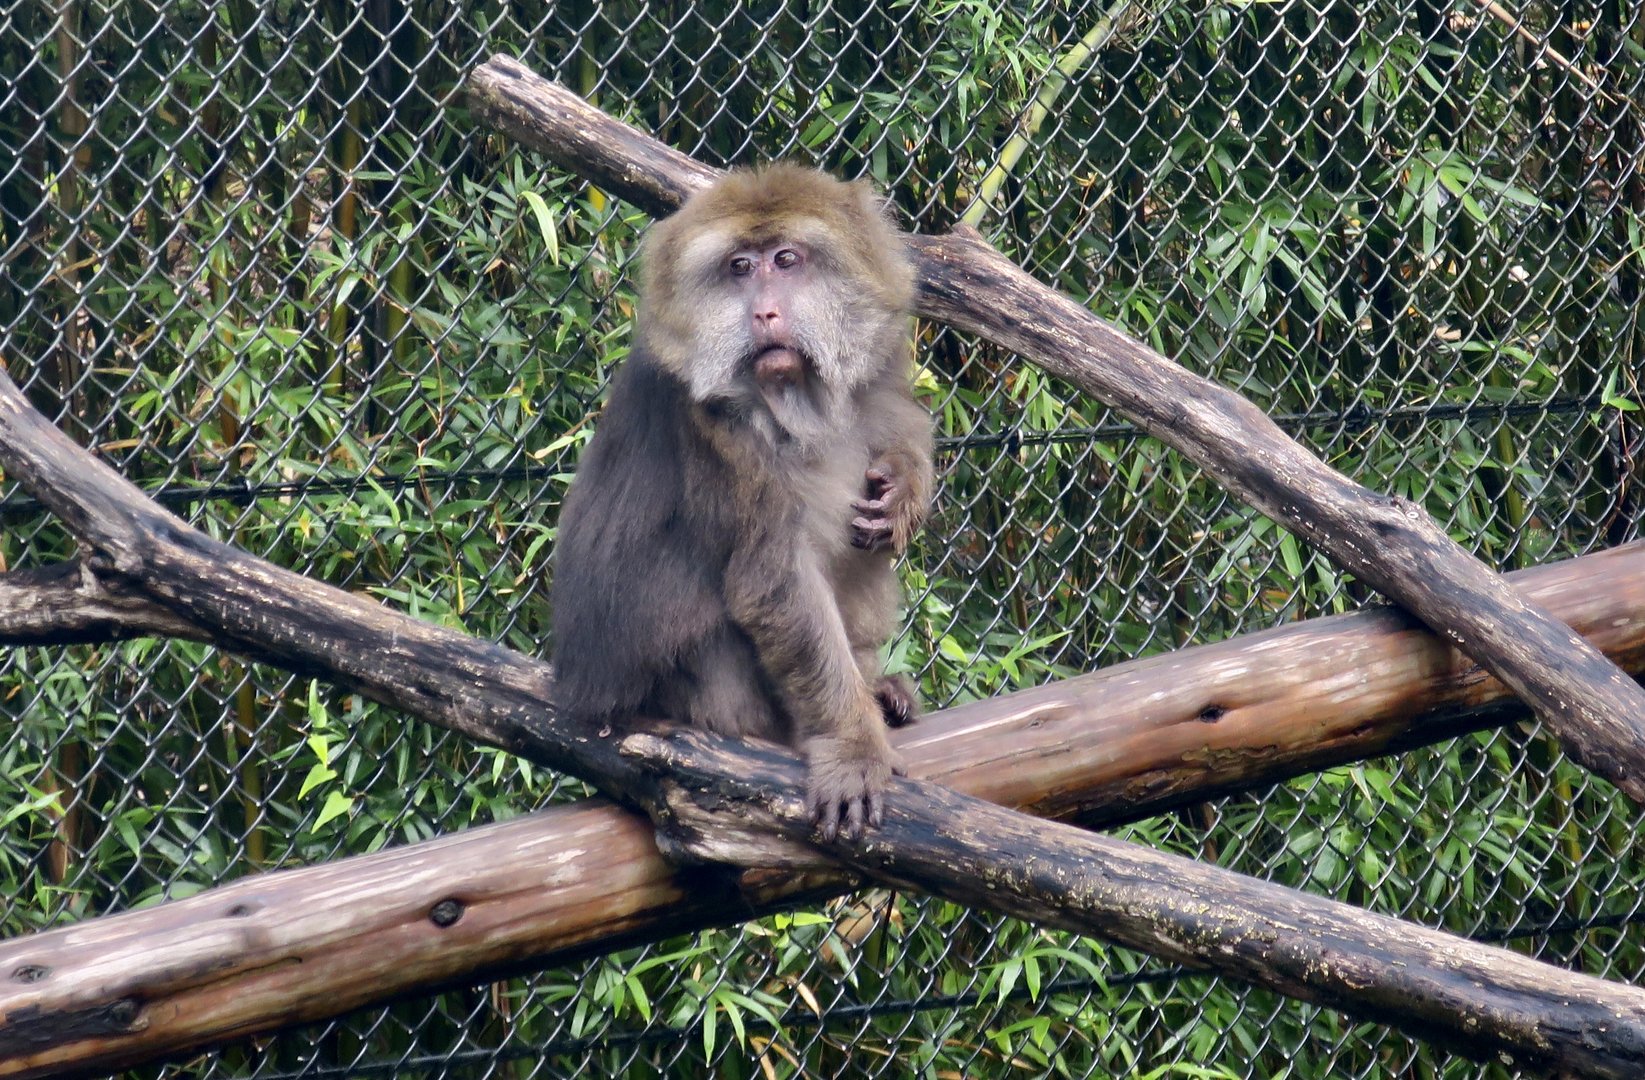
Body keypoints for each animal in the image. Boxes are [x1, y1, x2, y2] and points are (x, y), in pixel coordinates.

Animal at [550, 163, 933, 842]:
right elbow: (773, 583)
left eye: (785, 261)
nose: (765, 312)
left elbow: (897, 422)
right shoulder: (717, 438)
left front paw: (904, 486)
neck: (790, 400)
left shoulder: (879, 360)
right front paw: (850, 745)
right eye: (738, 268)